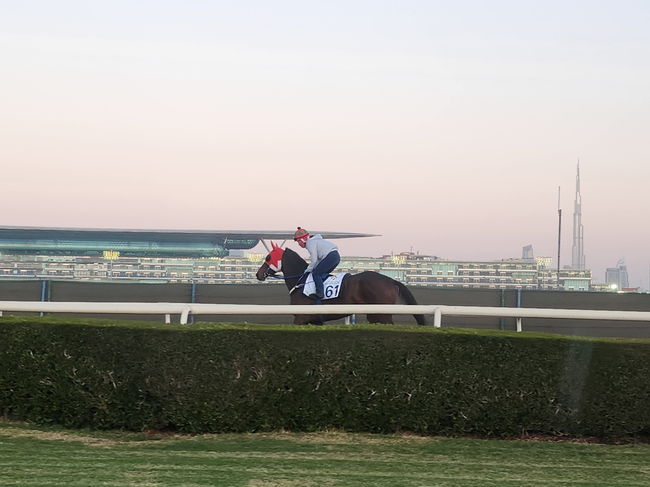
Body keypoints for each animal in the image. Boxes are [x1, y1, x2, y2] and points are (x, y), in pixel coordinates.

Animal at [253, 242, 426, 326]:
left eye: (268, 257)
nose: (258, 274)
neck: (300, 281)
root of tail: (390, 280)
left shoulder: (301, 318)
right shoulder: (315, 321)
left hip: (380, 314)